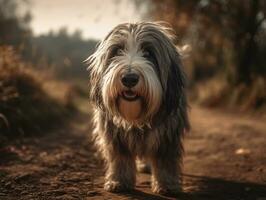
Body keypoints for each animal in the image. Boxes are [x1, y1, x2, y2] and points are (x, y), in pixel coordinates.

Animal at [87, 21, 189, 194]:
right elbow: (120, 158)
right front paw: (118, 181)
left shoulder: (168, 133)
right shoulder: (114, 135)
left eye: (148, 53)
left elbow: (165, 160)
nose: (129, 78)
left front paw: (167, 184)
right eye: (118, 51)